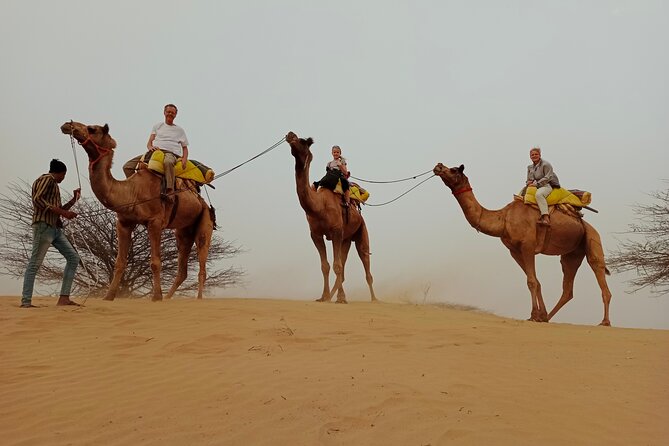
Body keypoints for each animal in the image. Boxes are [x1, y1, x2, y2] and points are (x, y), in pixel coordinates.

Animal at [60, 121, 215, 301]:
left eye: (92, 129)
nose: (68, 125)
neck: (132, 192)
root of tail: (202, 201)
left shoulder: (155, 222)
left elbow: (155, 262)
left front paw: (156, 297)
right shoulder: (123, 223)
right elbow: (120, 262)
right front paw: (109, 296)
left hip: (205, 219)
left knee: (202, 258)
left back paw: (198, 298)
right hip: (183, 230)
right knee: (182, 268)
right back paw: (169, 298)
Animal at [285, 132, 377, 303]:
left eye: (302, 141)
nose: (290, 134)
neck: (319, 206)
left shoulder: (336, 231)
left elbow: (337, 266)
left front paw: (338, 298)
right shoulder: (316, 234)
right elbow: (326, 266)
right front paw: (324, 296)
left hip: (361, 230)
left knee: (365, 259)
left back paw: (374, 299)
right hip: (346, 238)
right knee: (344, 263)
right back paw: (337, 295)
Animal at [433, 163, 612, 326]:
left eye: (454, 170)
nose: (438, 166)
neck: (504, 219)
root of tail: (585, 223)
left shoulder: (528, 246)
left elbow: (531, 281)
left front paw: (533, 316)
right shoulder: (514, 251)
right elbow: (535, 281)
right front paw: (540, 316)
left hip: (592, 238)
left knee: (598, 268)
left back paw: (605, 322)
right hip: (572, 253)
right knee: (568, 287)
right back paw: (548, 317)